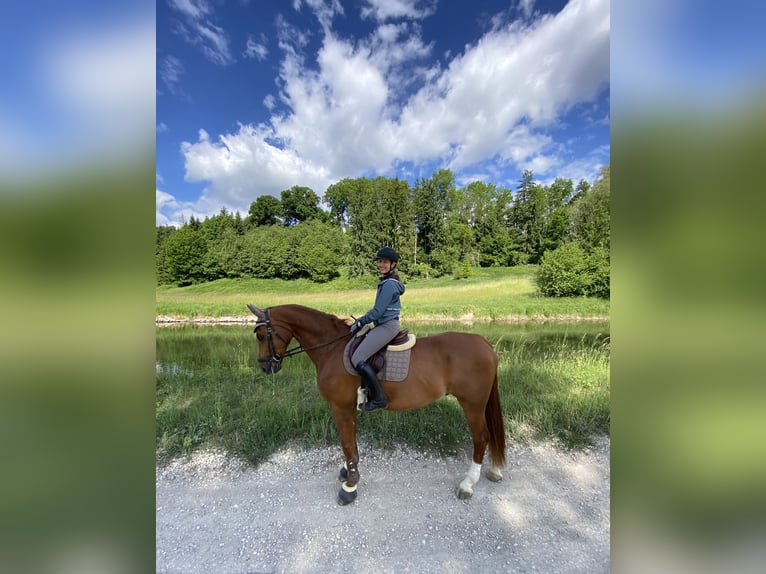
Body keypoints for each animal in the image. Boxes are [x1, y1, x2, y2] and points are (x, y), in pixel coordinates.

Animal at [247, 303, 506, 505]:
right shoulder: (349, 407)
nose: (265, 366)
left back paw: (467, 484)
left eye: (261, 336)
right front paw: (349, 471)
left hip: (472, 404)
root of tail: (483, 342)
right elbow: (352, 442)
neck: (332, 349)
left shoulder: (339, 407)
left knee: (481, 437)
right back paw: (494, 470)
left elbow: (347, 443)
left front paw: (350, 487)